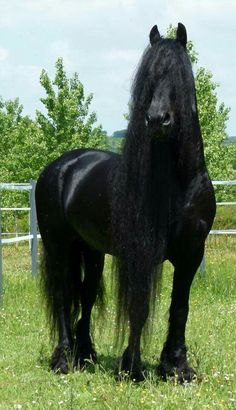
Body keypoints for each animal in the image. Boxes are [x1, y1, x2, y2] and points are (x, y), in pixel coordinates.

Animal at [35, 24, 216, 382]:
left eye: (179, 76)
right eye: (149, 77)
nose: (157, 120)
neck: (179, 186)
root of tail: (61, 166)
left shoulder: (192, 253)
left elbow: (180, 307)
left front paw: (176, 367)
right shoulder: (140, 254)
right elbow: (139, 307)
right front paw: (131, 367)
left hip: (90, 250)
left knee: (86, 295)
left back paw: (85, 355)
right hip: (58, 244)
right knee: (63, 295)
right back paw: (63, 359)